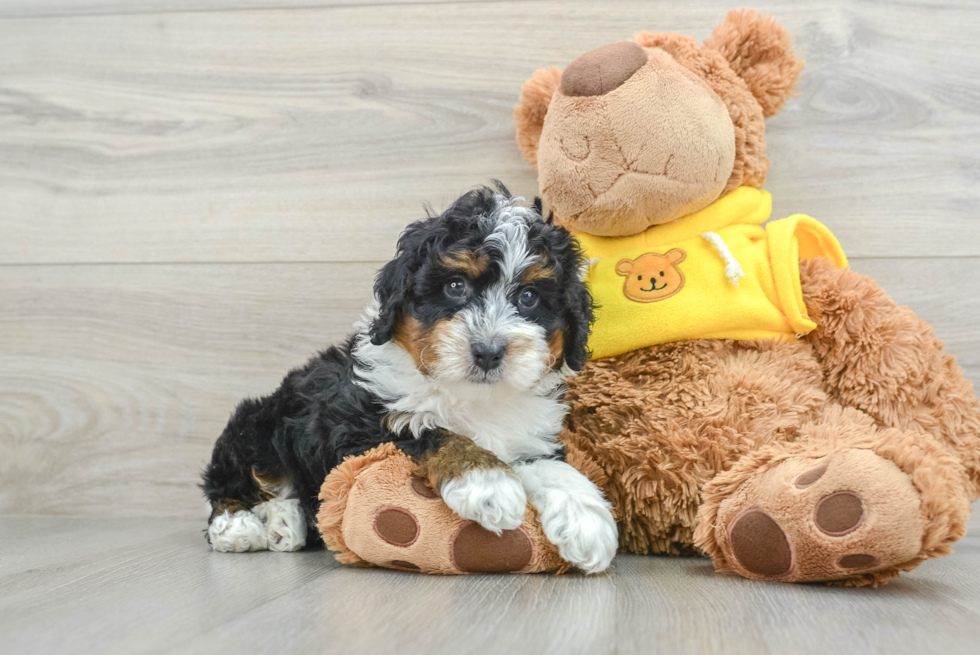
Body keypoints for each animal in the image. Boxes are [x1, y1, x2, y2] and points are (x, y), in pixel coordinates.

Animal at [202, 184, 616, 576]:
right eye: (455, 287)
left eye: (529, 297)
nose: (488, 351)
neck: (472, 397)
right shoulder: (357, 425)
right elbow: (427, 429)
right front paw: (487, 482)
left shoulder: (529, 435)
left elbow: (548, 465)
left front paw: (585, 518)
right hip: (257, 426)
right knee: (231, 483)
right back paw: (239, 526)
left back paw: (286, 524)